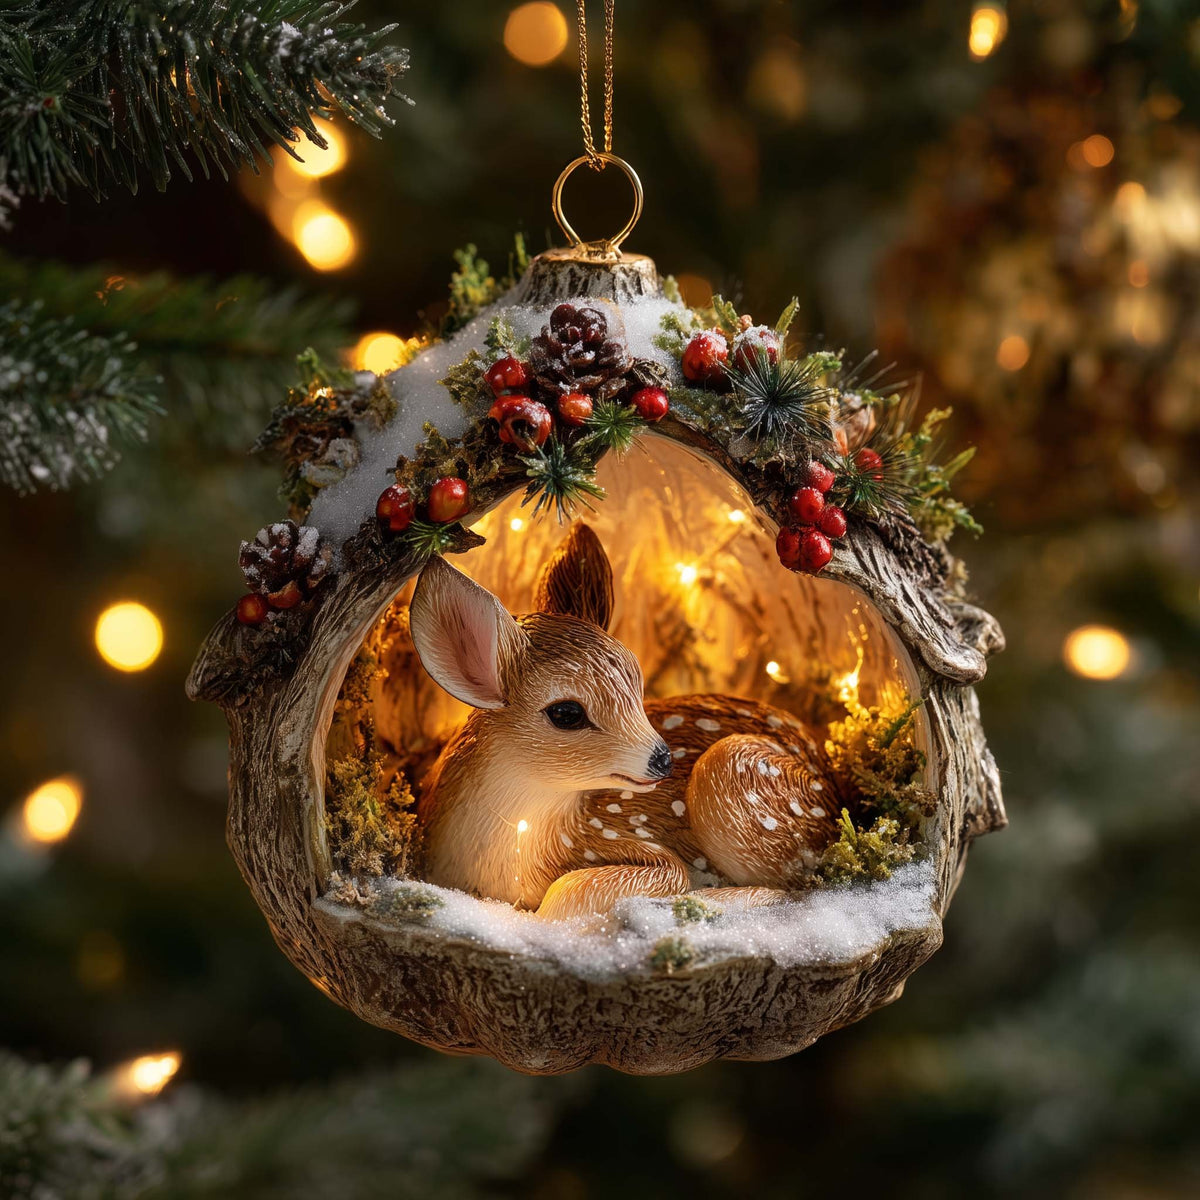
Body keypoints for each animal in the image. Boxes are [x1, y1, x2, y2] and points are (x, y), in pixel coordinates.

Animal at [409, 522, 847, 920]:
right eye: (566, 713)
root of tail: (834, 789)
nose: (663, 759)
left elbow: (566, 894)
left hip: (733, 777)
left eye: (638, 683)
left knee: (799, 887)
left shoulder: (638, 848)